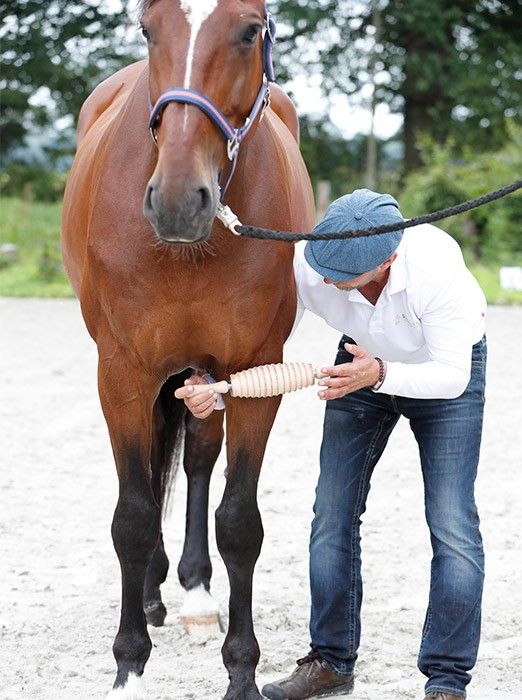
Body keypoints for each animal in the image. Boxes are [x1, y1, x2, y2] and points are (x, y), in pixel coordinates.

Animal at [61, 0, 312, 696]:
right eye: (149, 29)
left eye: (250, 29)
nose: (177, 201)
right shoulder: (121, 373)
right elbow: (133, 516)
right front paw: (128, 662)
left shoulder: (256, 374)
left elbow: (239, 522)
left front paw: (242, 670)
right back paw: (150, 595)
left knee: (197, 459)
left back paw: (197, 596)